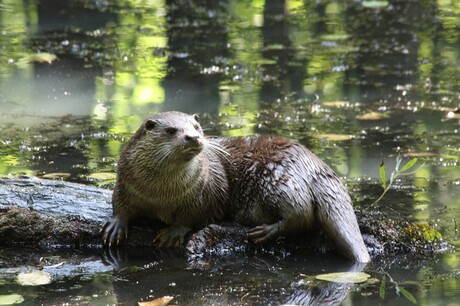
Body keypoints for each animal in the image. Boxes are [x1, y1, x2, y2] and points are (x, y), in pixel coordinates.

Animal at [102, 112, 372, 262]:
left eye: (197, 127)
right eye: (171, 130)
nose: (193, 137)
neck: (161, 195)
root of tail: (315, 165)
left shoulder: (208, 190)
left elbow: (195, 216)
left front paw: (175, 231)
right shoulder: (125, 180)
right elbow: (119, 203)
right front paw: (116, 225)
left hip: (277, 179)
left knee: (301, 214)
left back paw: (266, 231)